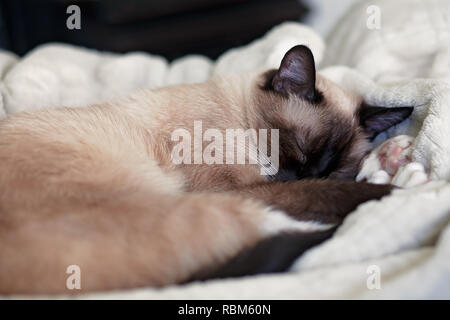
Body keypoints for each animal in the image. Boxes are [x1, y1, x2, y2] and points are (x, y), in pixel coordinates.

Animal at [0, 45, 412, 296]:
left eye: (333, 169)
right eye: (297, 149)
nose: (303, 175)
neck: (238, 117)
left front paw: (391, 157)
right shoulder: (239, 189)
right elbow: (330, 199)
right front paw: (398, 186)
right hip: (214, 208)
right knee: (316, 230)